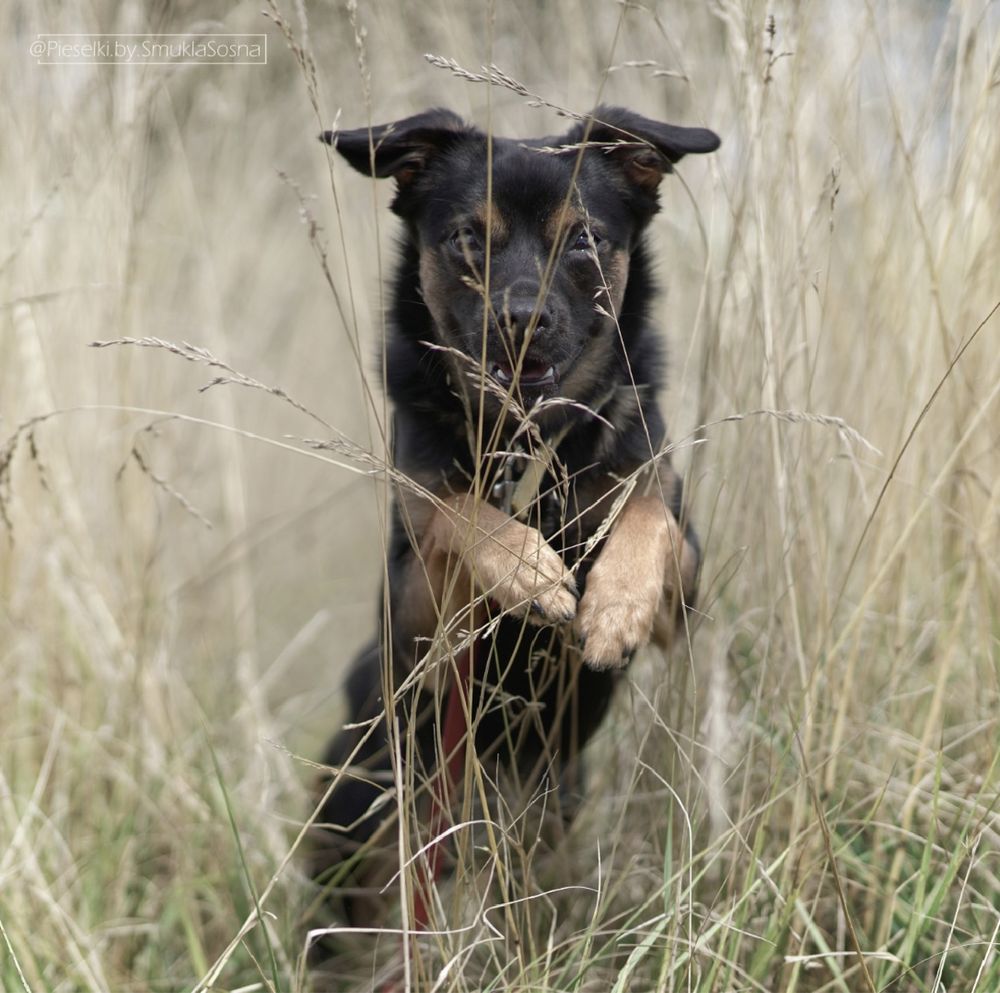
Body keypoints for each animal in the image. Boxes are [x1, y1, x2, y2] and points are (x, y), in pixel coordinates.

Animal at [312, 102, 720, 924]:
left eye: (586, 239)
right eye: (468, 237)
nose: (522, 319)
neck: (531, 442)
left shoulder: (684, 585)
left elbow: (646, 510)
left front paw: (613, 607)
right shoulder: (418, 620)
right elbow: (458, 507)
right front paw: (530, 569)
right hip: (359, 813)